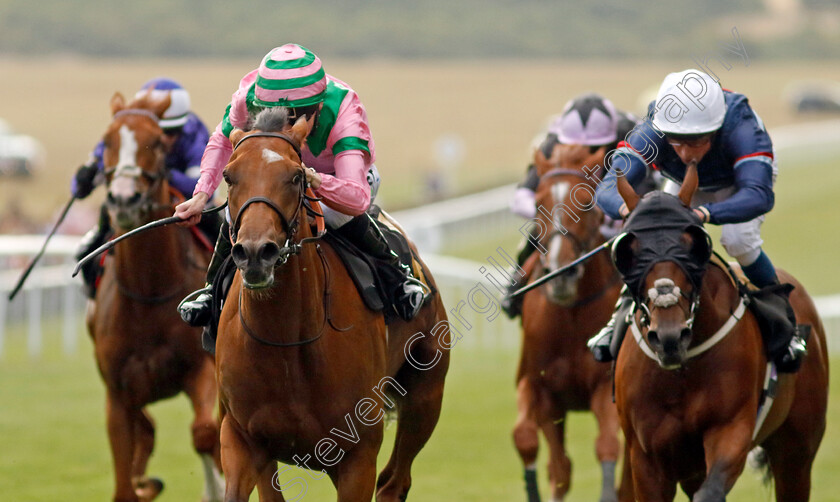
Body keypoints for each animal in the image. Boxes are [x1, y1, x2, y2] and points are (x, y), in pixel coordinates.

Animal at [88, 92, 223, 500]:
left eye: (158, 143)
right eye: (107, 141)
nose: (124, 200)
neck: (149, 292)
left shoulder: (201, 369)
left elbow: (206, 433)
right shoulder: (118, 394)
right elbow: (123, 476)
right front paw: (140, 482)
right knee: (147, 432)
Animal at [512, 145, 632, 502]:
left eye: (588, 201)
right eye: (539, 202)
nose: (561, 274)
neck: (570, 317)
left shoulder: (605, 388)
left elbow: (607, 446)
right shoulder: (540, 389)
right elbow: (540, 451)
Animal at [608, 167, 832, 500]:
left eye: (694, 244)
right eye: (628, 251)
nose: (670, 337)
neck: (681, 372)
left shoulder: (731, 430)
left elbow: (711, 491)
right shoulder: (647, 458)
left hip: (797, 449)